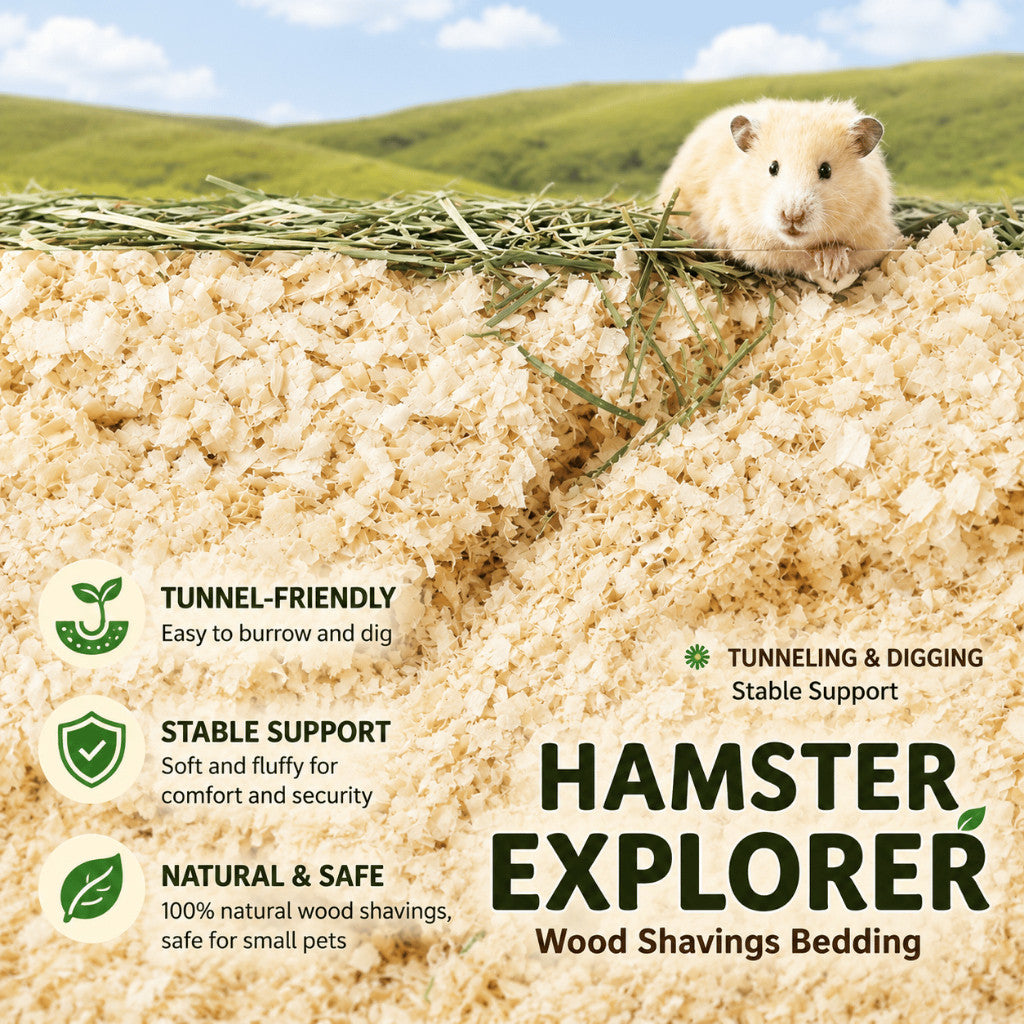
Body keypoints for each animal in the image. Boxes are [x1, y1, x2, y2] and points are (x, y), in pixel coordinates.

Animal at [657, 99, 899, 287]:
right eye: (772, 167)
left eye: (826, 170)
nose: (793, 216)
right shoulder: (747, 238)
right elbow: (794, 257)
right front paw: (824, 266)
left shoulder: (874, 237)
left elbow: (852, 252)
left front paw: (833, 264)